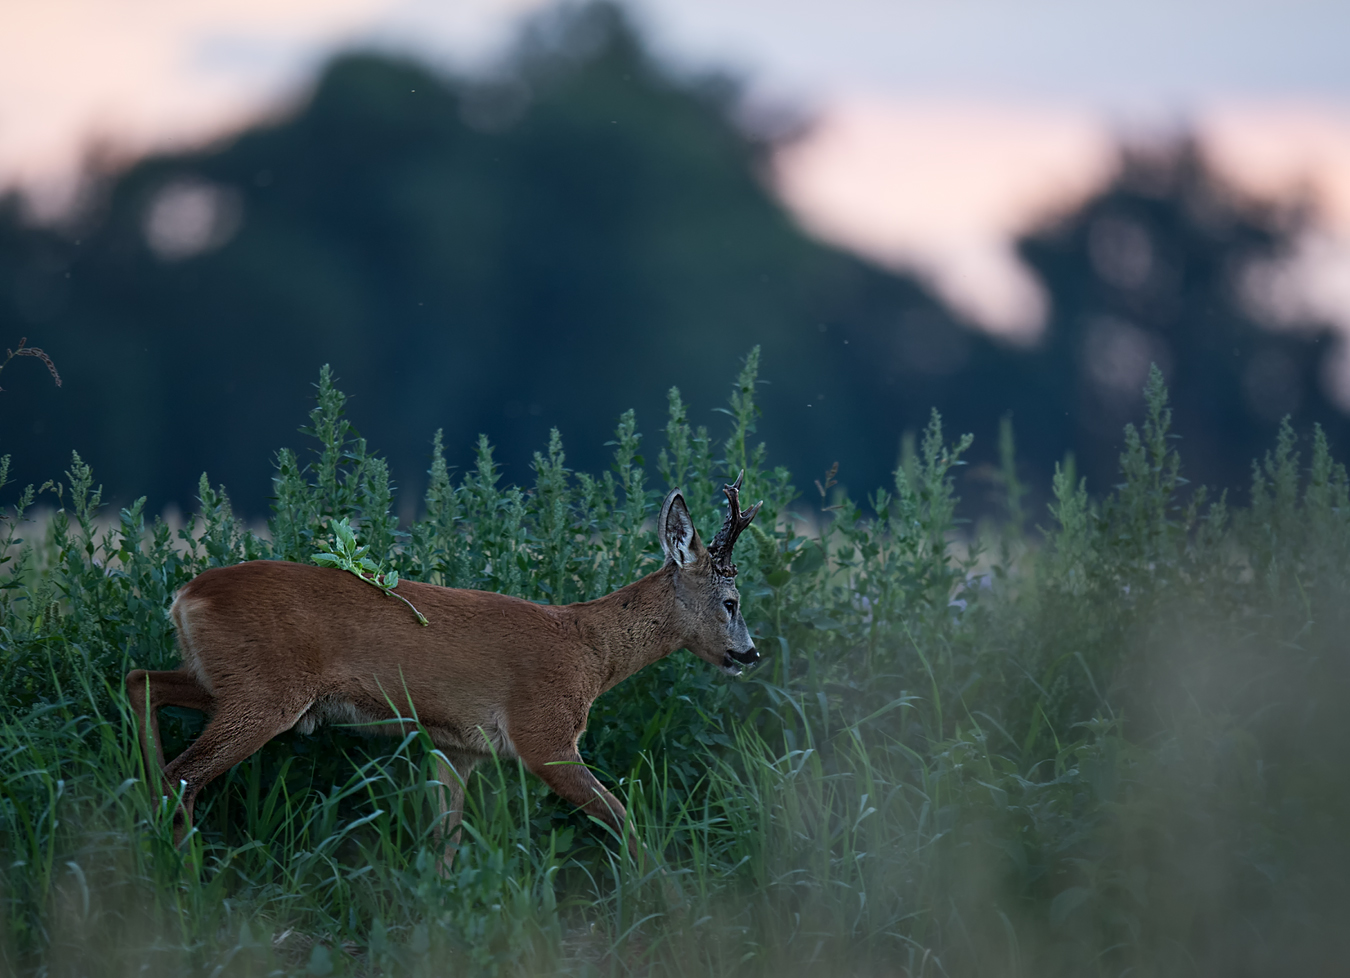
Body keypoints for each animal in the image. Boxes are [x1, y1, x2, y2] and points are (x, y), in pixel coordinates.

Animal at [125, 475, 761, 864]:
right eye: (732, 602)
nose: (751, 654)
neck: (590, 649)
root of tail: (183, 596)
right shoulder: (544, 733)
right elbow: (623, 818)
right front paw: (664, 897)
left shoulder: (458, 746)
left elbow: (445, 843)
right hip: (264, 693)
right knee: (182, 774)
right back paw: (182, 868)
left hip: (225, 681)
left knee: (142, 684)